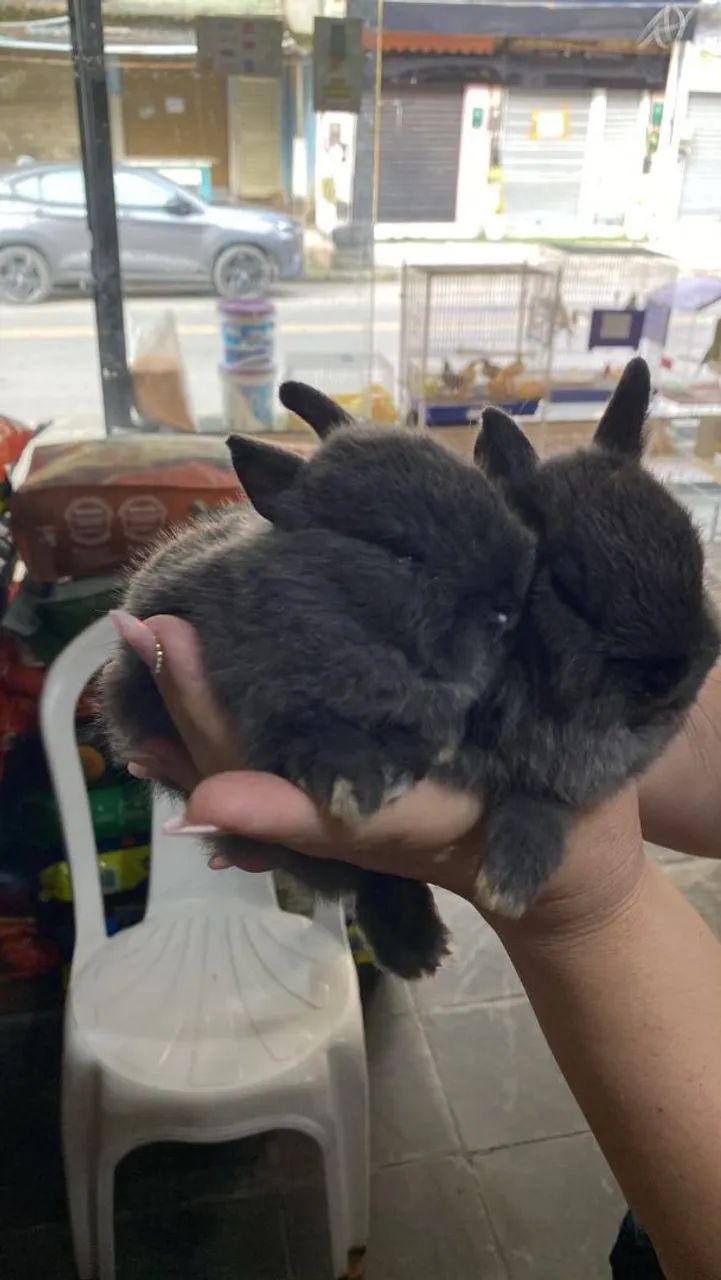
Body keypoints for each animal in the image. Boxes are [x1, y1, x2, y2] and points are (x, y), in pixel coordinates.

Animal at [449, 357, 720, 919]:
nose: (666, 679)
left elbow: (543, 805)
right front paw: (508, 884)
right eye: (568, 588)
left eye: (695, 554)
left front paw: (508, 885)